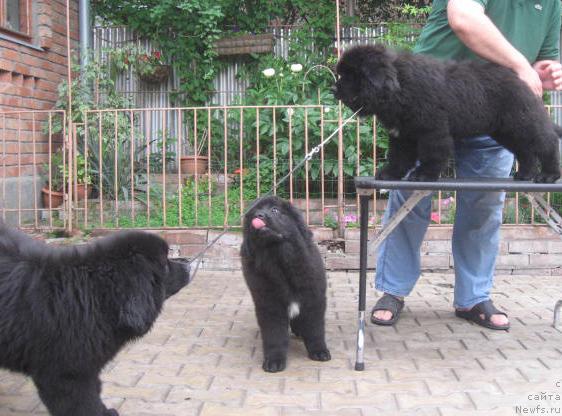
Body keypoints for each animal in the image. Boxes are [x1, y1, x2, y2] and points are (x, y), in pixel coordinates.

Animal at [0, 224, 190, 416]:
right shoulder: (67, 375)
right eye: (165, 265)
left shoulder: (88, 366)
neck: (95, 294)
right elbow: (83, 404)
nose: (188, 264)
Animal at [240, 197, 328, 372]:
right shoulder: (269, 305)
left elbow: (316, 329)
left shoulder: (314, 298)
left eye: (275, 210)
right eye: (254, 213)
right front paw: (274, 360)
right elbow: (274, 335)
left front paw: (319, 351)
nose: (259, 215)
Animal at [334, 44, 556, 184]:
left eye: (351, 75)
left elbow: (432, 154)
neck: (399, 86)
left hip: (522, 122)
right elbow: (399, 156)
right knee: (525, 151)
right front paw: (390, 173)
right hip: (506, 131)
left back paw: (548, 175)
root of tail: (521, 81)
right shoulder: (403, 134)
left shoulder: (432, 130)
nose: (334, 89)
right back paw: (525, 174)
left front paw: (423, 175)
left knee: (546, 143)